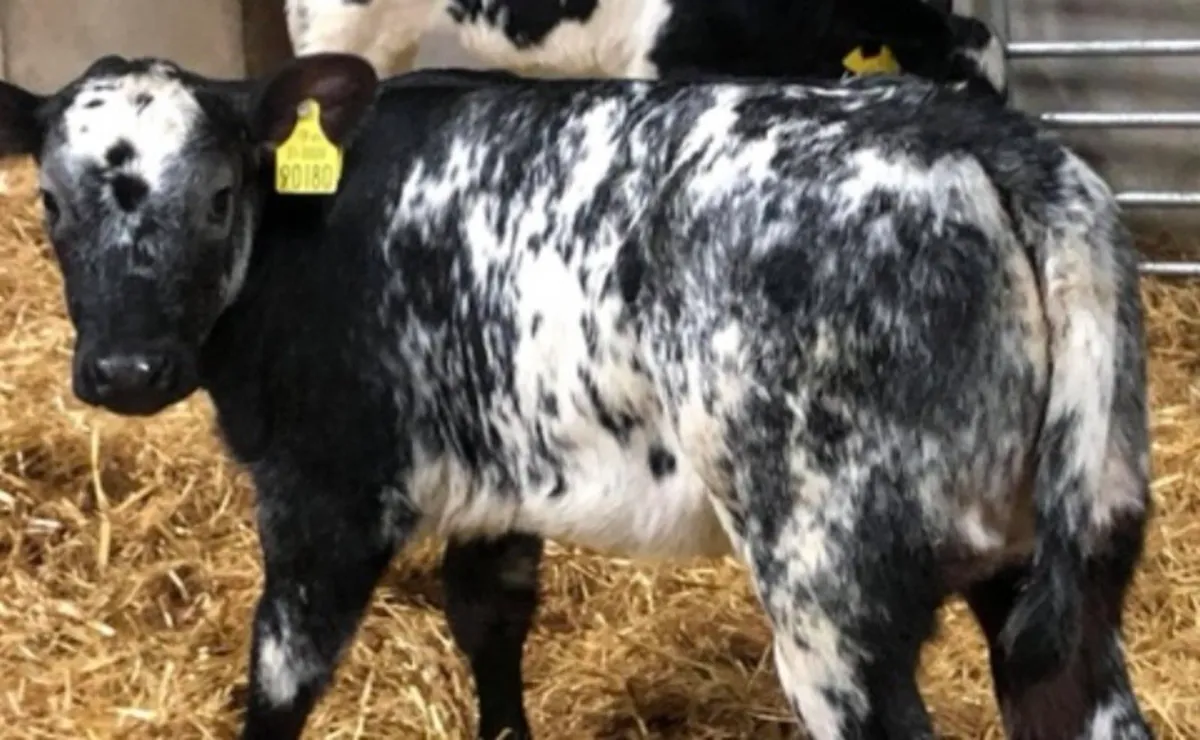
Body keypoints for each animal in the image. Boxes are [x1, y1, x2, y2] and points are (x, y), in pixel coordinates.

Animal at [0, 51, 1150, 740]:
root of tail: (970, 130)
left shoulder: (325, 495)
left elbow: (280, 680)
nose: (126, 372)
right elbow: (489, 621)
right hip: (1060, 560)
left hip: (834, 585)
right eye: (49, 200)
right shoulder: (497, 478)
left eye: (219, 195)